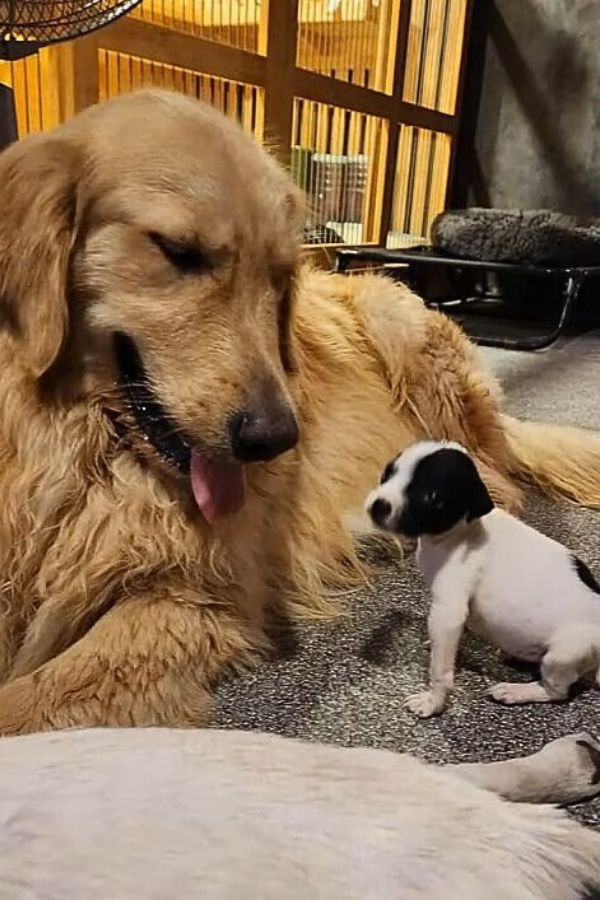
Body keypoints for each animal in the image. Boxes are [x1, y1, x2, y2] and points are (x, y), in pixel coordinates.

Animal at [366, 440, 600, 720]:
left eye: (432, 497)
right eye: (388, 472)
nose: (378, 506)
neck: (461, 531)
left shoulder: (448, 610)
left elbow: (440, 670)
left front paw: (434, 701)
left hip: (565, 652)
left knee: (556, 692)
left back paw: (516, 691)